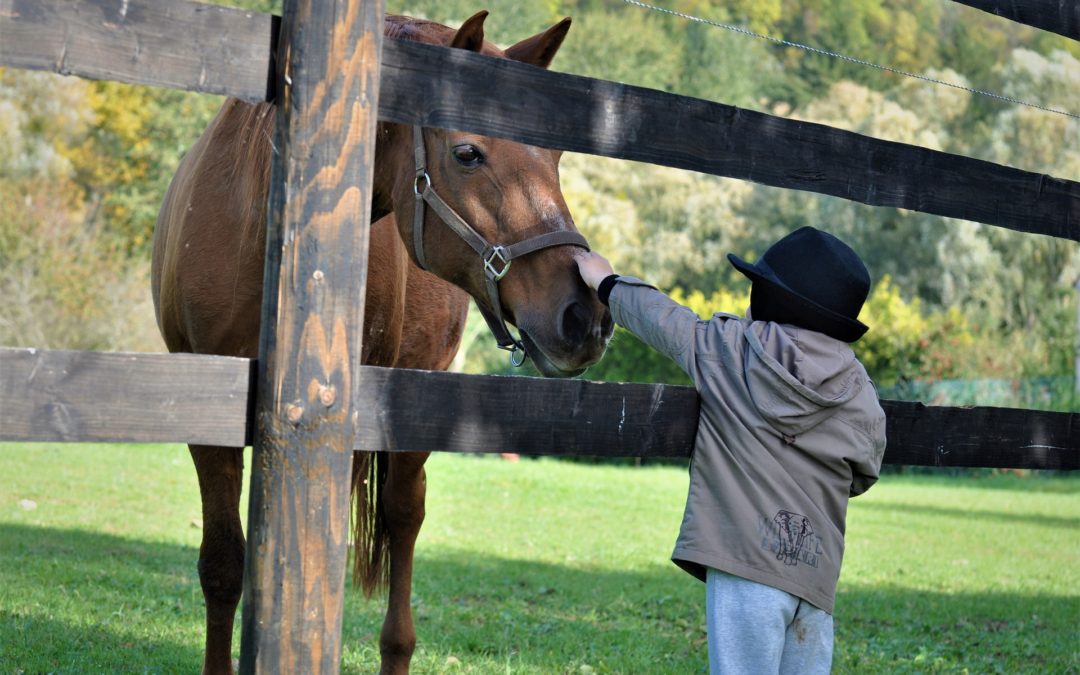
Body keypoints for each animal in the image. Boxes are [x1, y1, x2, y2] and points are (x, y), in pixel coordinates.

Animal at [152, 10, 613, 673]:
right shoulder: (206, 415)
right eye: (467, 153)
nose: (584, 314)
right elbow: (222, 565)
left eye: (554, 155)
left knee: (403, 516)